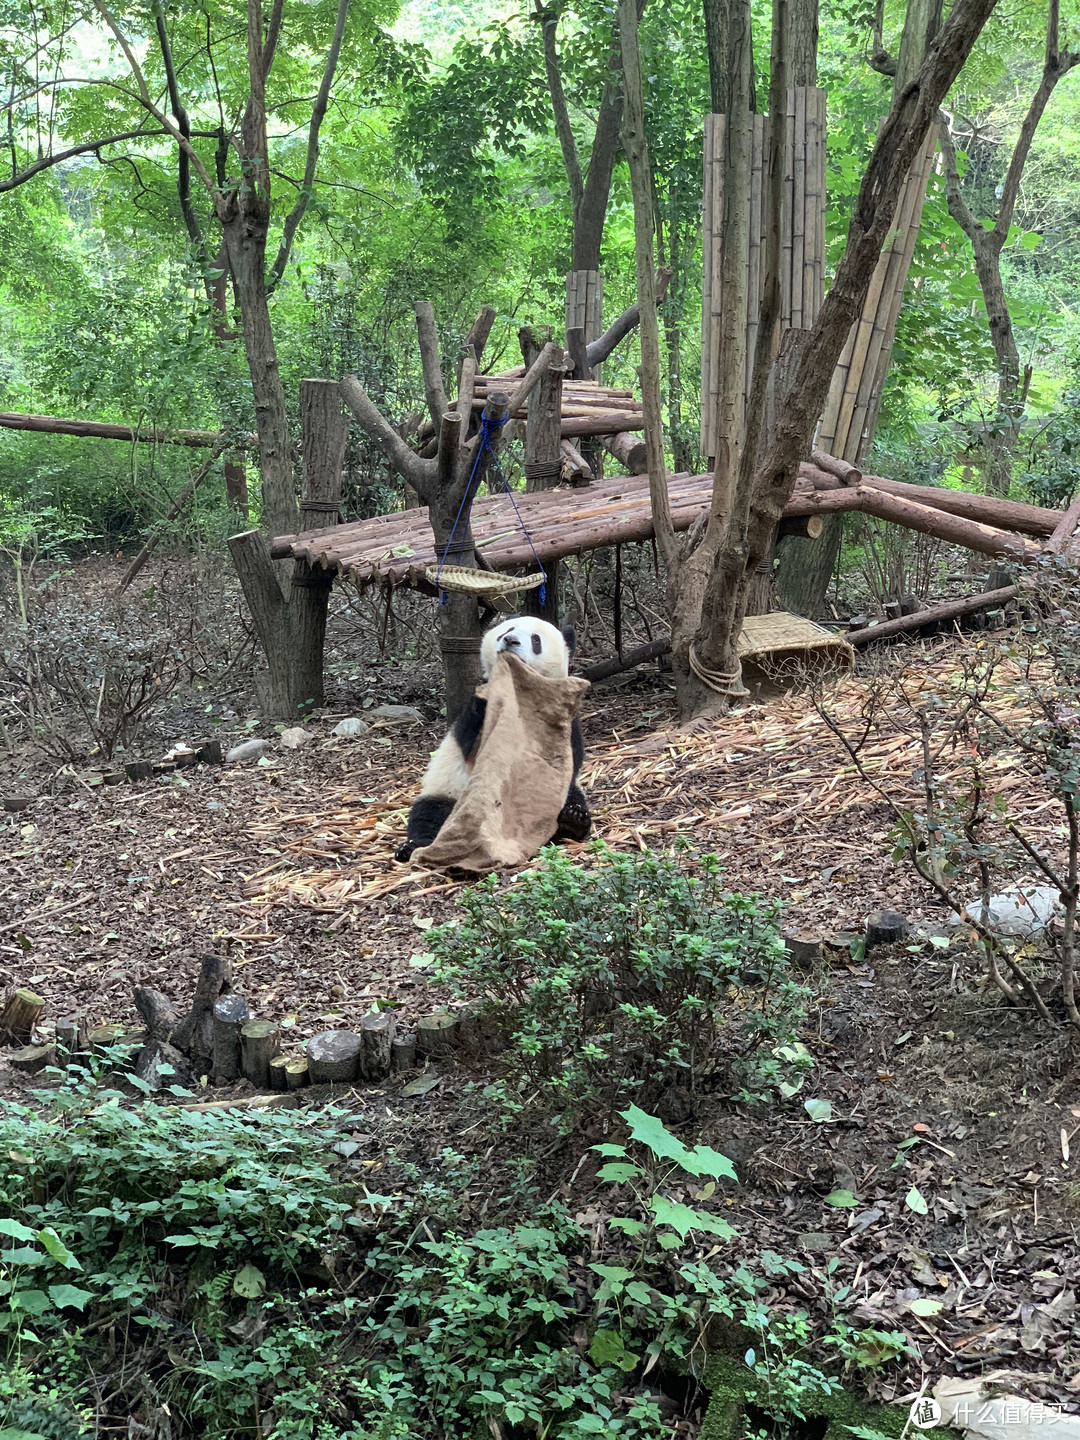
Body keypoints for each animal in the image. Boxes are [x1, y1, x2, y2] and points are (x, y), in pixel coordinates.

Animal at [397, 613, 593, 858]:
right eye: (507, 630)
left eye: (536, 640)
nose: (510, 640)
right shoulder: (479, 707)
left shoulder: (560, 713)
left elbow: (565, 755)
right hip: (449, 791)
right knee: (430, 813)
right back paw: (413, 847)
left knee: (571, 797)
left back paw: (573, 820)